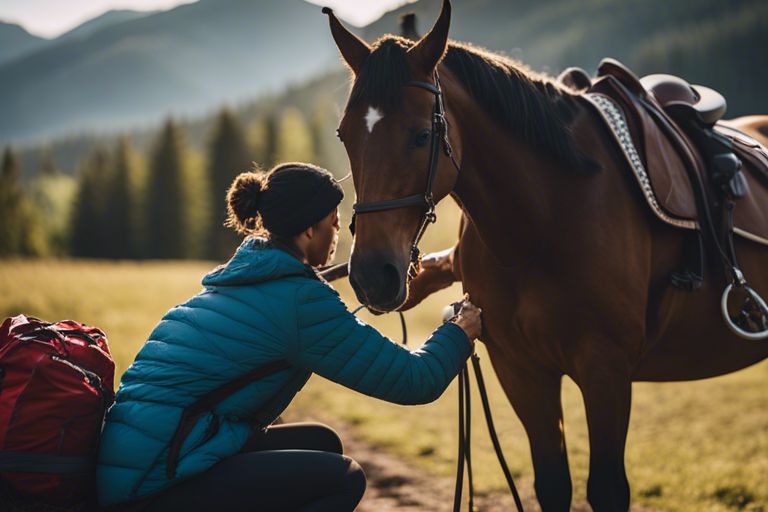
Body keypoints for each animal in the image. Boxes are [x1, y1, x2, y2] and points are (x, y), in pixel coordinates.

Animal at [322, 2, 768, 510]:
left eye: (420, 136)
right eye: (344, 135)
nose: (373, 275)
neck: (542, 225)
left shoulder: (606, 369)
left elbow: (607, 488)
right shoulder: (521, 370)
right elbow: (552, 483)